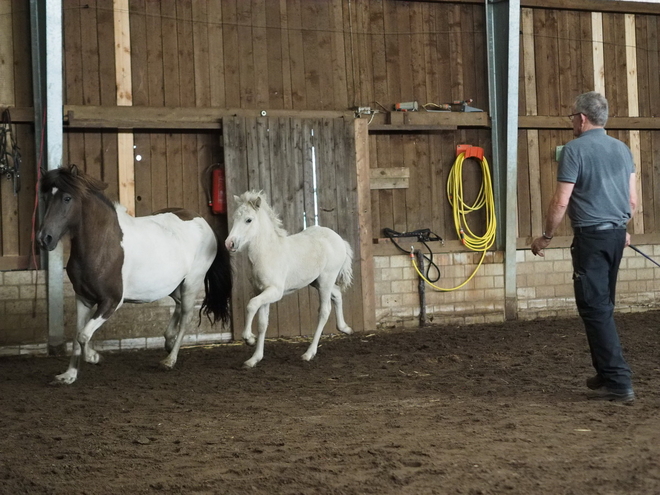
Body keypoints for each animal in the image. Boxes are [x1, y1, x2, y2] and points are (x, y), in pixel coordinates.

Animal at [38, 165, 232, 386]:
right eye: (45, 197)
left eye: (67, 198)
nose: (44, 239)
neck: (102, 245)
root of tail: (204, 222)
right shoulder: (84, 299)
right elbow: (77, 336)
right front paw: (68, 375)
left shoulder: (111, 301)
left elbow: (84, 336)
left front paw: (94, 357)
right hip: (173, 286)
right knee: (179, 304)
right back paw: (168, 340)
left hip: (192, 282)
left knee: (186, 316)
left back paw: (170, 360)